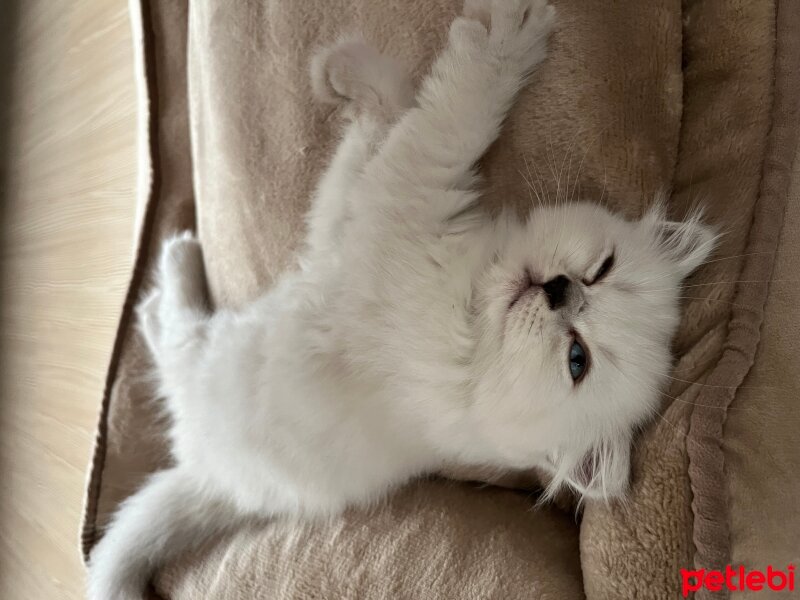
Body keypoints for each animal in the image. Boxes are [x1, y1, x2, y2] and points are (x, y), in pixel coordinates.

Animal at [86, 2, 712, 596]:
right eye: (604, 269)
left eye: (577, 360)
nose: (563, 290)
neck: (472, 319)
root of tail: (216, 480)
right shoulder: (350, 224)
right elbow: (374, 137)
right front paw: (351, 77)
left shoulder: (399, 200)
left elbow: (450, 113)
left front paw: (503, 36)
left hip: (219, 359)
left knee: (171, 339)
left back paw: (173, 263)